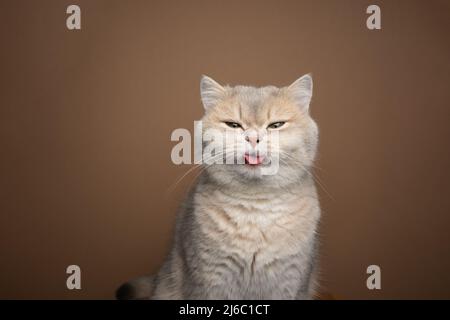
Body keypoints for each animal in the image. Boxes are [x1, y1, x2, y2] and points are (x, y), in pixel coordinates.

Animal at [116, 74, 320, 298]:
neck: (255, 211)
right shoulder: (210, 280)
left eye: (276, 125)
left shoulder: (290, 283)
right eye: (233, 125)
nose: (253, 138)